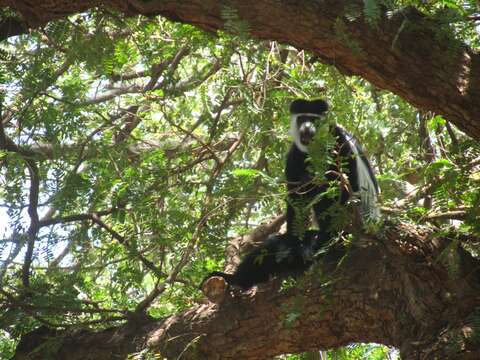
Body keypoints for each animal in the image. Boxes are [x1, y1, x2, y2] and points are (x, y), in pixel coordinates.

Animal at [286, 97, 380, 236]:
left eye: (314, 119)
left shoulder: (340, 141)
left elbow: (347, 180)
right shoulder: (294, 154)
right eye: (302, 119)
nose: (307, 128)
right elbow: (296, 198)